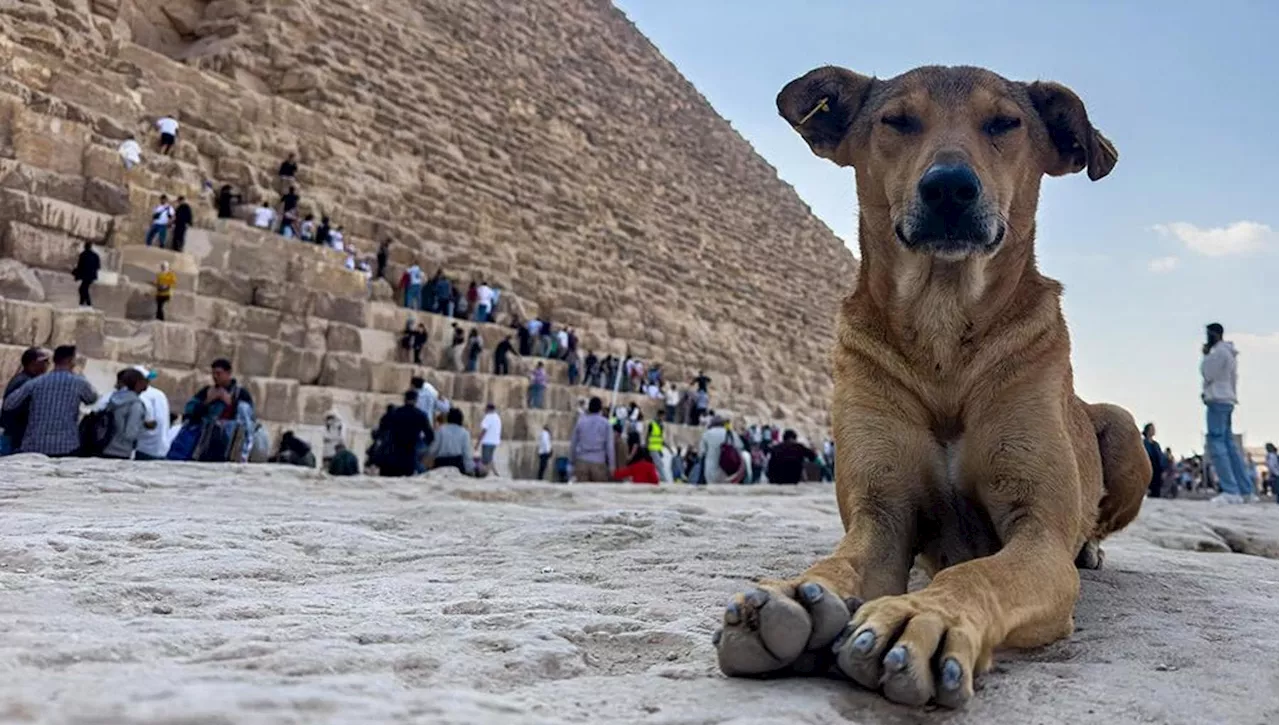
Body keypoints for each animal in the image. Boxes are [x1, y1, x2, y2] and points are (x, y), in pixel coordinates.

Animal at [711, 65, 1152, 707]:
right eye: (896, 120)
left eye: (1004, 123)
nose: (949, 188)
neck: (944, 332)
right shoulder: (882, 517)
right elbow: (841, 563)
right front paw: (798, 594)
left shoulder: (1040, 535)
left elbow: (977, 571)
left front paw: (925, 616)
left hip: (1122, 428)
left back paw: (1090, 547)